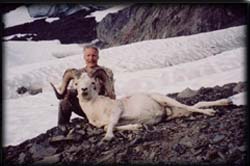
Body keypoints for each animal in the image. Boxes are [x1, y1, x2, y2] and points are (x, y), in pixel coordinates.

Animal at [50, 68, 232, 141]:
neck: (95, 109)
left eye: (93, 82)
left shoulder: (117, 111)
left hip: (165, 99)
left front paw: (108, 137)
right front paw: (137, 127)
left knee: (191, 106)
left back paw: (212, 112)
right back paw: (225, 102)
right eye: (76, 83)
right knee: (197, 105)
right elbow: (109, 126)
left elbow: (110, 125)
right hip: (176, 111)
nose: (83, 90)